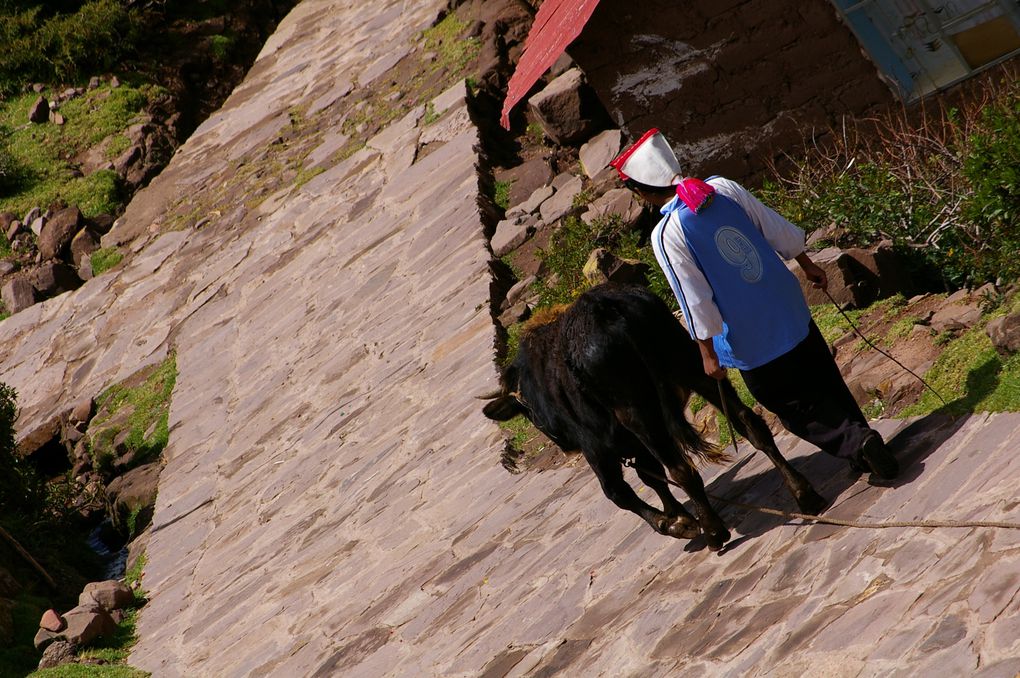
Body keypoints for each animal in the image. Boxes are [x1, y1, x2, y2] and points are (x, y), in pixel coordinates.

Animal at [481, 279, 824, 550]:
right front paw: (679, 515)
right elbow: (650, 475)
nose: (563, 445)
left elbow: (619, 492)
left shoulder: (596, 446)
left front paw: (676, 523)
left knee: (680, 469)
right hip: (694, 367)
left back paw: (714, 532)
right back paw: (805, 495)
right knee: (750, 424)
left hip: (637, 410)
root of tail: (604, 308)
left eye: (530, 414)